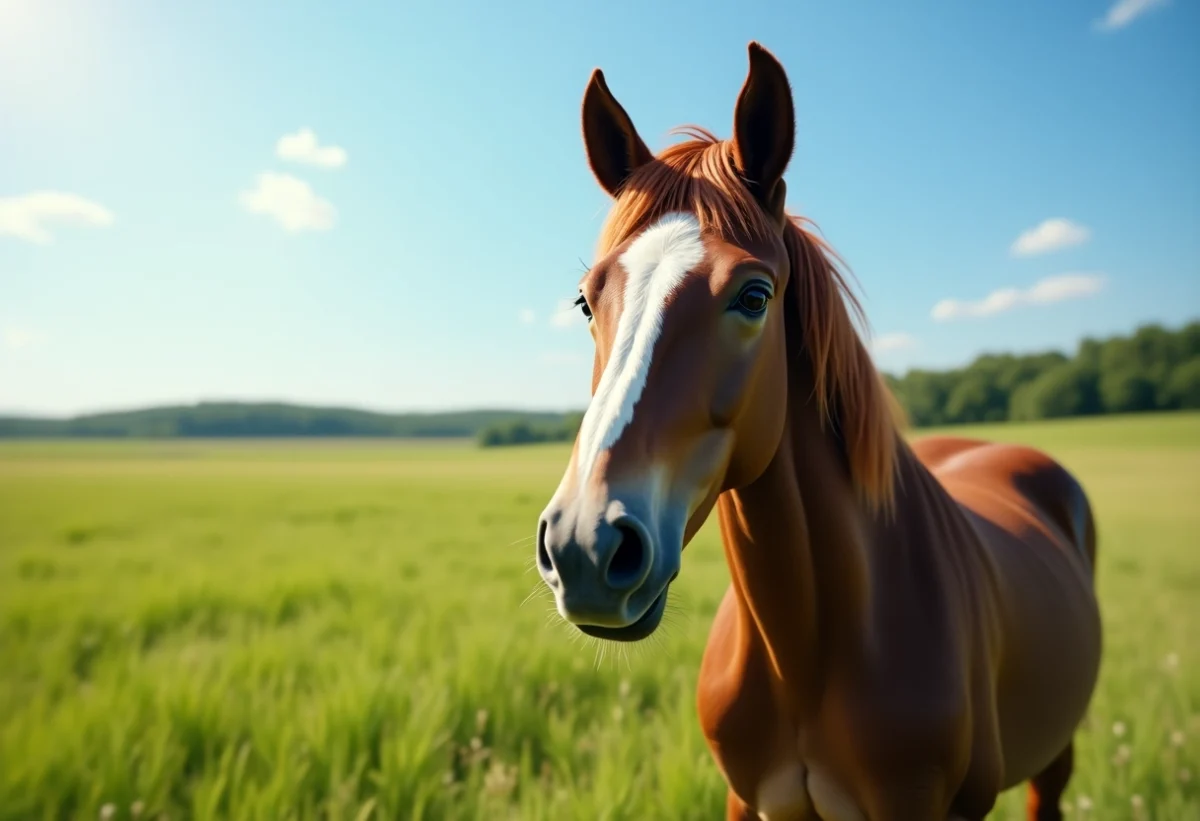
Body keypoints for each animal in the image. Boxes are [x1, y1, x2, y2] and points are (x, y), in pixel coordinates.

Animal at [535, 43, 1104, 820]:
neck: (806, 651)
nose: (585, 546)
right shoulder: (747, 800)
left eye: (754, 296)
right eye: (587, 302)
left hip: (1056, 755)